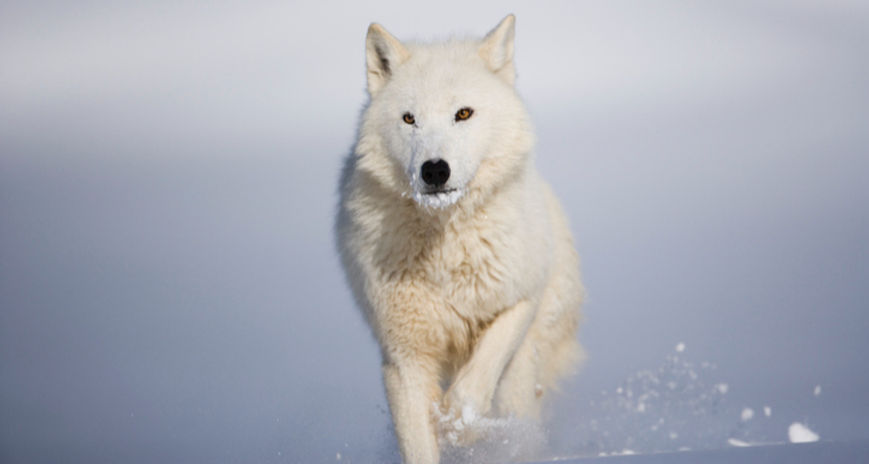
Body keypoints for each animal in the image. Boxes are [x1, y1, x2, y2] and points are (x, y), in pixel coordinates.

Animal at [336, 15, 584, 464]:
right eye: (409, 119)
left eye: (463, 114)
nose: (434, 170)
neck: (445, 249)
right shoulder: (403, 357)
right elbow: (418, 445)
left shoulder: (520, 299)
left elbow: (474, 383)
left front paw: (459, 425)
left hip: (522, 371)